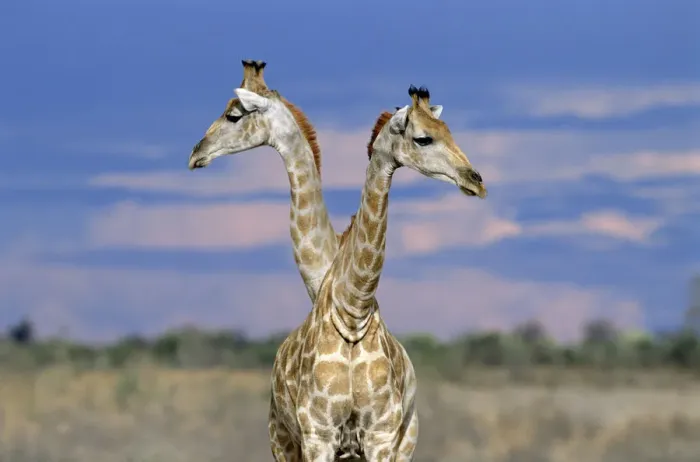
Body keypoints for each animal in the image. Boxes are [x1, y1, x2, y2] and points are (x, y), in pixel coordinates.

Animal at [269, 85, 487, 461]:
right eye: (424, 138)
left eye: (450, 132)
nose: (476, 181)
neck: (353, 316)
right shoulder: (318, 434)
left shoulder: (381, 434)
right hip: (282, 441)